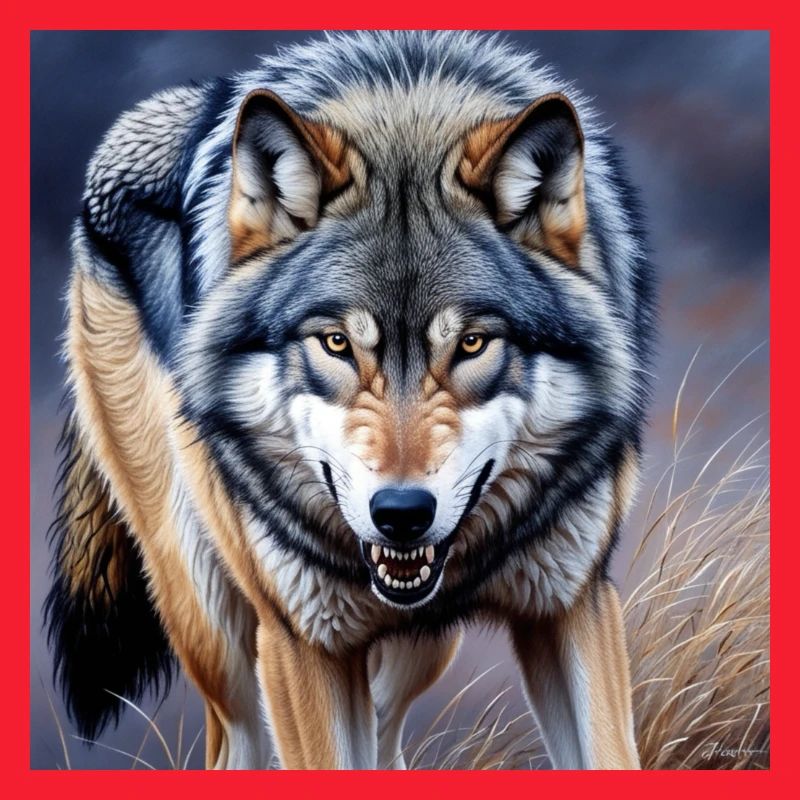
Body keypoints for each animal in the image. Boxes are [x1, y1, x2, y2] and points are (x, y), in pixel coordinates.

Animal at [45, 30, 654, 770]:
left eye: (473, 343)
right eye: (336, 343)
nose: (401, 514)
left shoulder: (571, 605)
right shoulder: (304, 642)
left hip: (421, 646)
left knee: (387, 732)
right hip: (215, 627)